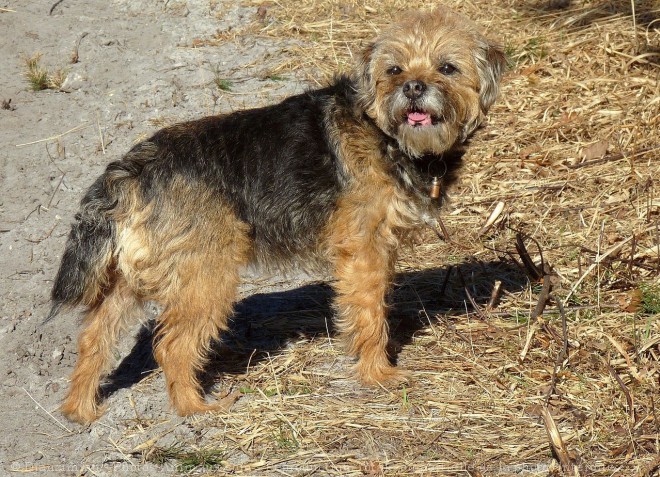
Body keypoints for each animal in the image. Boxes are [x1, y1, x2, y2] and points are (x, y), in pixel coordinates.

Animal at [50, 6, 506, 424]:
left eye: (447, 67)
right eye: (393, 69)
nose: (413, 87)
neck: (386, 135)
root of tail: (130, 169)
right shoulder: (365, 249)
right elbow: (369, 311)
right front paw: (378, 375)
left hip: (132, 280)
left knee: (94, 338)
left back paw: (81, 409)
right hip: (207, 276)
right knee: (171, 345)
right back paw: (195, 407)